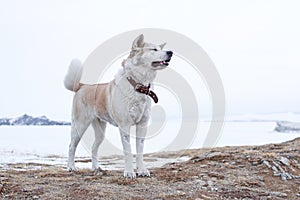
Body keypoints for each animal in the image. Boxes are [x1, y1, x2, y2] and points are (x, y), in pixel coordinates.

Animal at [63, 34, 173, 178]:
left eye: (161, 48)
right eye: (153, 49)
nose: (171, 52)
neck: (138, 85)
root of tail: (82, 86)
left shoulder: (142, 125)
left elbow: (140, 151)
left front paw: (142, 171)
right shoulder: (124, 126)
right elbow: (128, 151)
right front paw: (129, 172)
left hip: (100, 131)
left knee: (93, 148)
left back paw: (96, 168)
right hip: (79, 126)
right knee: (71, 146)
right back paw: (71, 167)